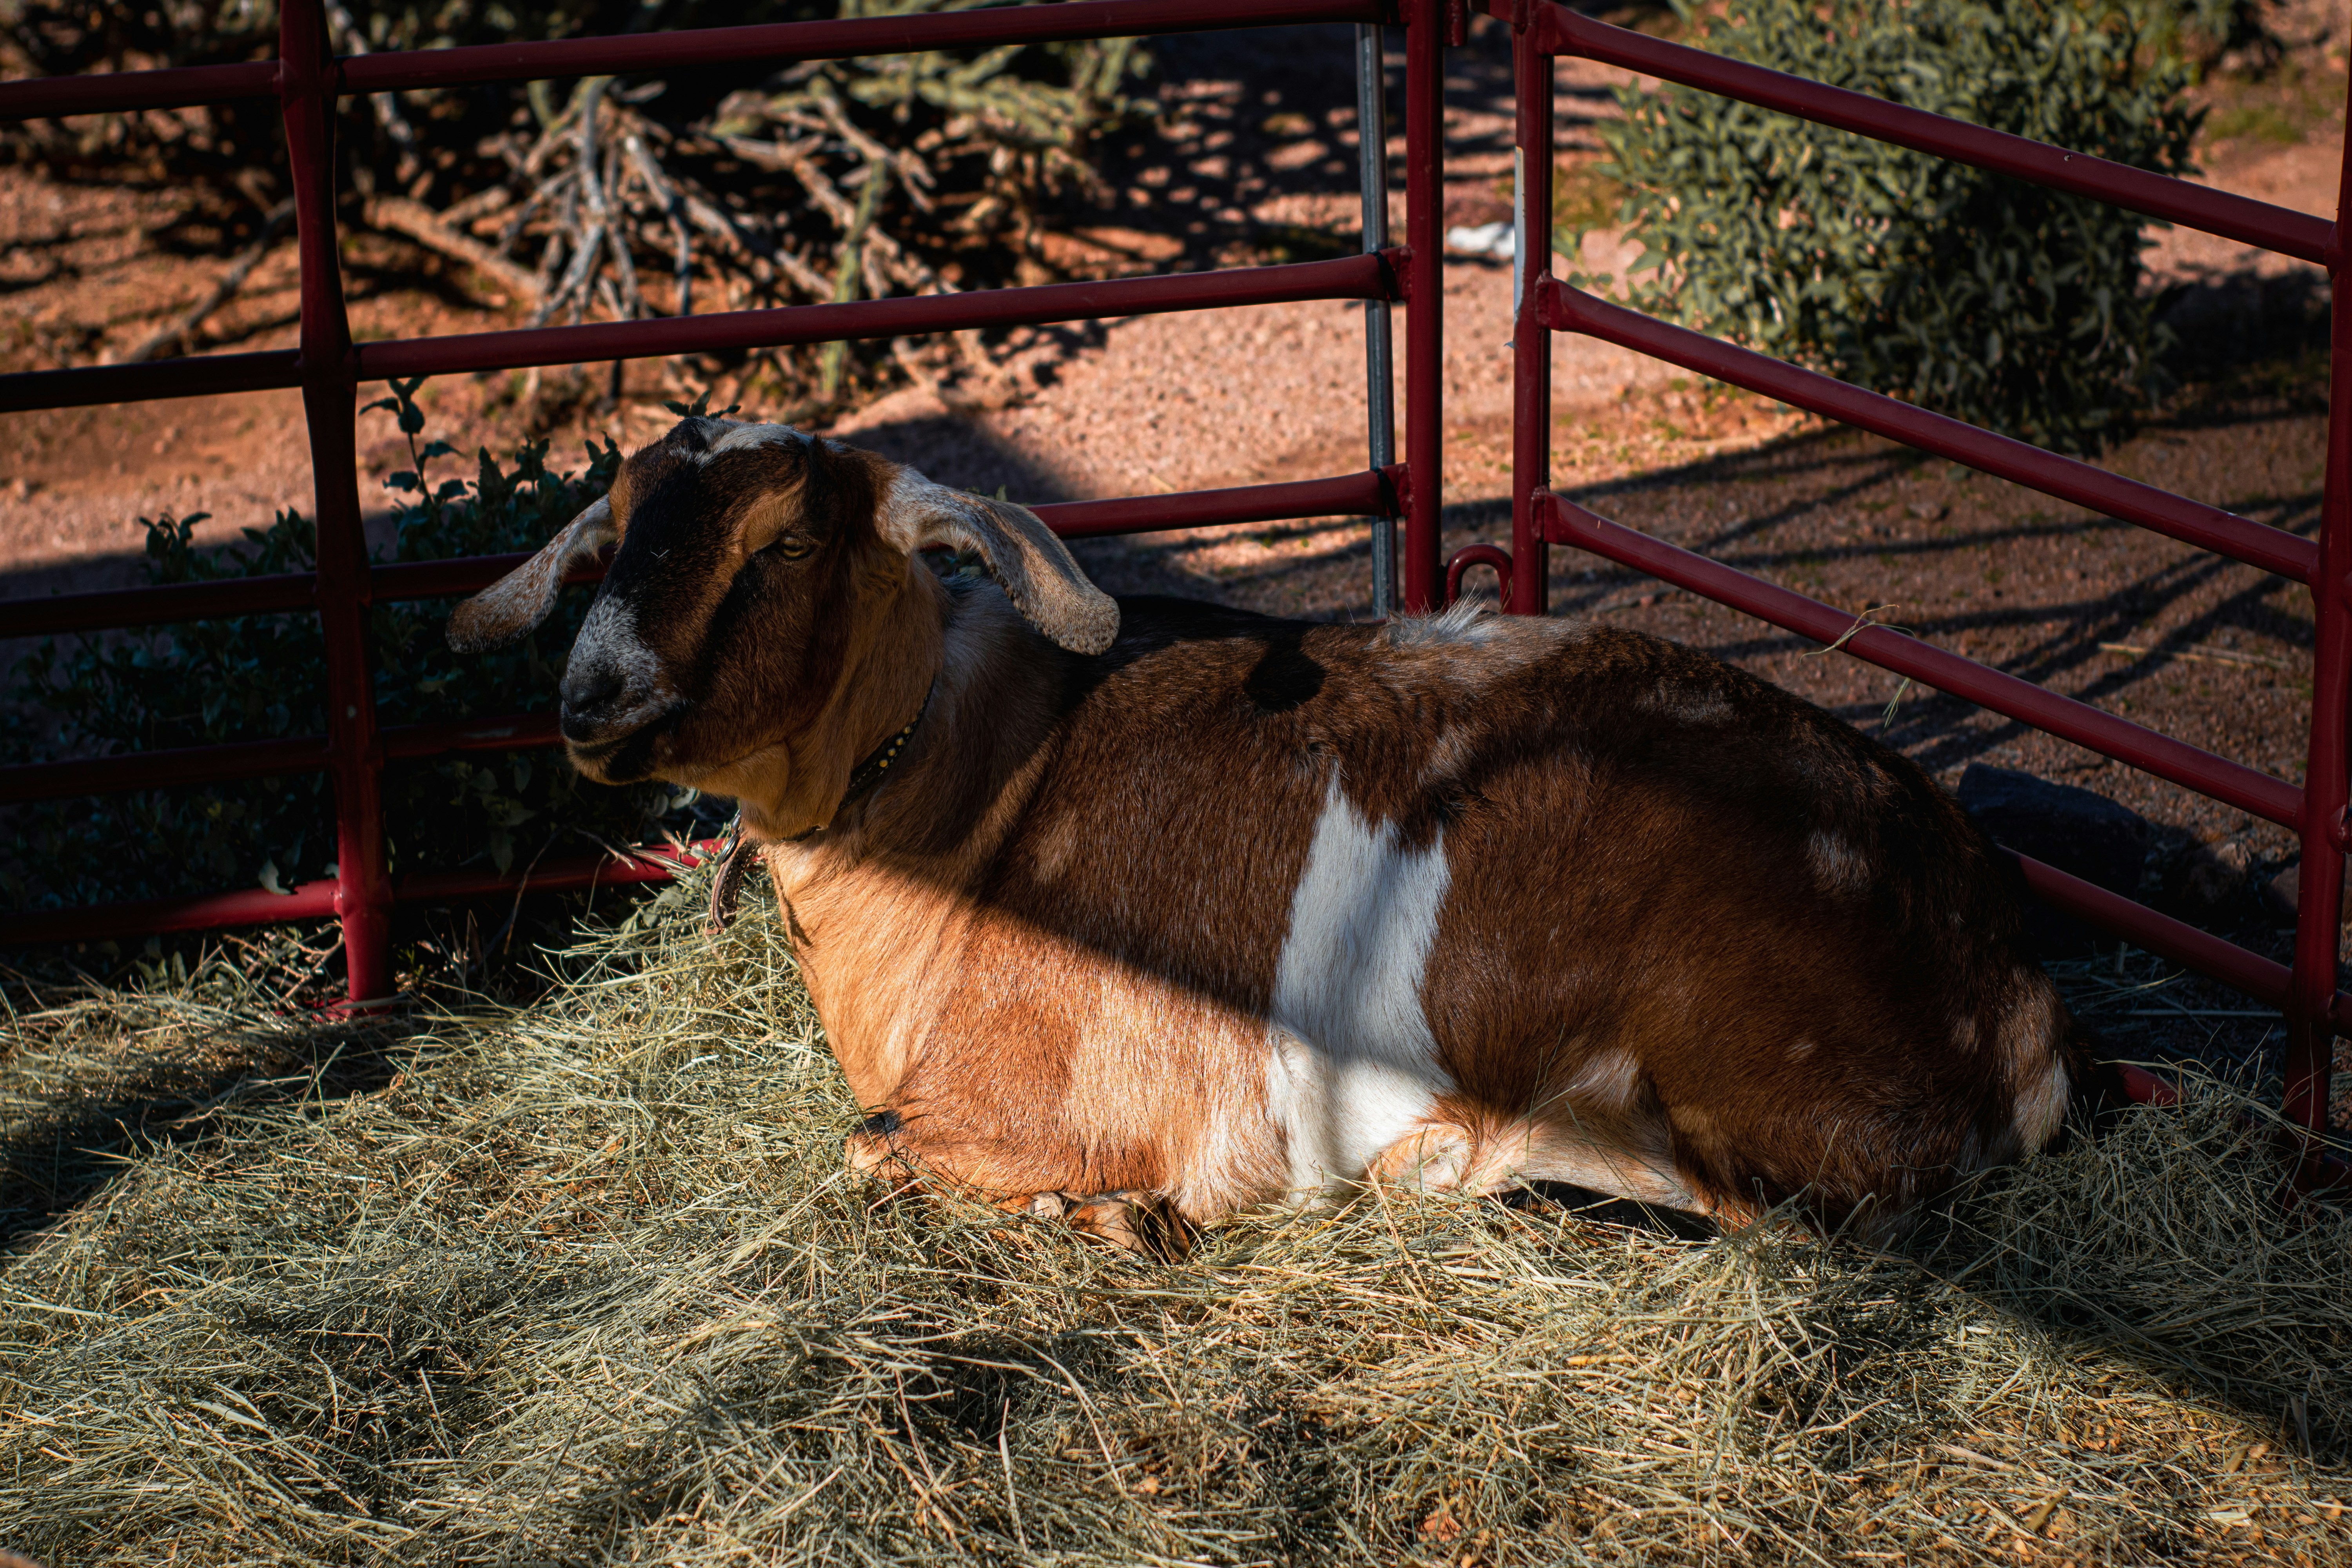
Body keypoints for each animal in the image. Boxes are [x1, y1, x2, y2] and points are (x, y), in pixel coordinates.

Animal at [450, 416, 2078, 1248]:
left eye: (782, 537)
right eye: (612, 528)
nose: (595, 699)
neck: (977, 801)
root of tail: (2010, 995)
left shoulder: (1023, 1101)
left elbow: (871, 1151)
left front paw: (1106, 1218)